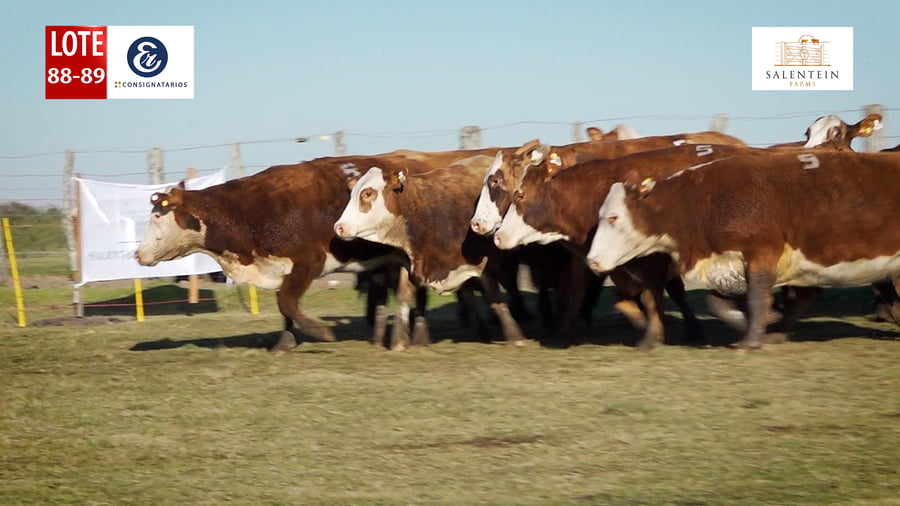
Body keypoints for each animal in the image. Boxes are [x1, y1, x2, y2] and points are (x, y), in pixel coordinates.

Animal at [135, 155, 444, 353]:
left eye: (158, 216)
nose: (138, 254)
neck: (250, 212)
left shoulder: (308, 263)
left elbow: (287, 302)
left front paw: (320, 331)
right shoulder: (279, 268)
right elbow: (284, 306)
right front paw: (285, 341)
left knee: (409, 294)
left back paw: (408, 338)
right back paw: (387, 337)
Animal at [334, 155, 529, 346]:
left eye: (367, 193)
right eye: (352, 194)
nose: (339, 227)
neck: (424, 213)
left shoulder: (484, 263)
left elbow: (494, 297)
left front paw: (514, 336)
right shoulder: (410, 262)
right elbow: (404, 296)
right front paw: (399, 341)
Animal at [585, 151, 900, 349]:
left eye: (613, 217)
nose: (591, 261)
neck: (702, 202)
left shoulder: (762, 254)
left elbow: (758, 298)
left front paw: (751, 340)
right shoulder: (728, 264)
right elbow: (717, 303)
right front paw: (748, 325)